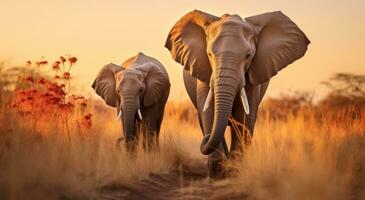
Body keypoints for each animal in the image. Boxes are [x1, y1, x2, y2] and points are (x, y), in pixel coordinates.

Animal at [164, 10, 308, 177]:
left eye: (248, 56)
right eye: (209, 54)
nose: (205, 139)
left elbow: (244, 116)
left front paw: (234, 171)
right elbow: (209, 113)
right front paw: (216, 173)